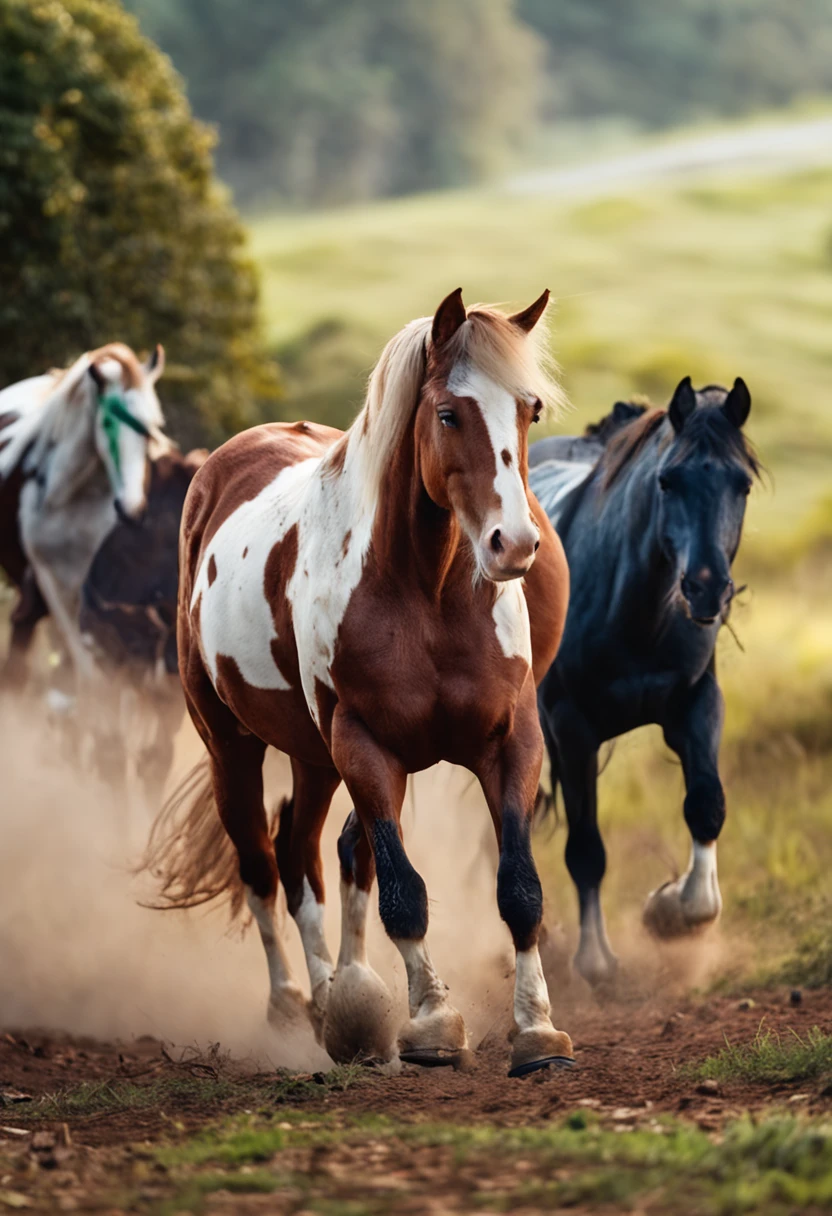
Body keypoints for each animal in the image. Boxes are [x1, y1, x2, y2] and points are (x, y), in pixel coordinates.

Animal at [142, 289, 571, 1079]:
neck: (426, 595)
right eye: (448, 413)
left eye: (529, 409)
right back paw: (298, 1004)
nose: (515, 545)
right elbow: (404, 893)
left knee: (303, 852)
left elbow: (518, 889)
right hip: (234, 746)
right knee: (261, 861)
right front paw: (432, 1023)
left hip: (314, 757)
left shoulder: (508, 742)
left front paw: (537, 1032)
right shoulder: (365, 745)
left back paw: (333, 996)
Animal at [532, 379, 759, 987]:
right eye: (667, 481)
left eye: (742, 483)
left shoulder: (697, 704)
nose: (706, 589)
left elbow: (706, 805)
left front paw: (672, 912)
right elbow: (587, 849)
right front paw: (595, 959)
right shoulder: (572, 728)